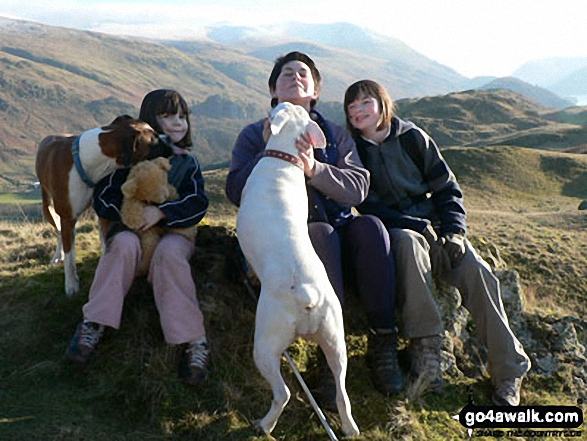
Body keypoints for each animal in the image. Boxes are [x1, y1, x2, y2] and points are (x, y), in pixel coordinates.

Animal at [36, 115, 173, 298]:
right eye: (155, 141)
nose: (170, 138)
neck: (90, 160)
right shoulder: (67, 218)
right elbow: (70, 257)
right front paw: (71, 285)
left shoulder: (103, 211)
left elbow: (106, 242)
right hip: (48, 207)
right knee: (58, 232)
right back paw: (58, 256)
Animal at [237, 102, 360, 436]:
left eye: (279, 107)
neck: (284, 158)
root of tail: (308, 293)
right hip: (335, 340)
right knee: (342, 390)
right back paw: (349, 427)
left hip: (266, 344)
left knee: (283, 393)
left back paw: (265, 424)